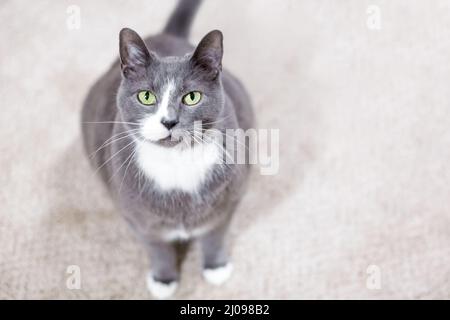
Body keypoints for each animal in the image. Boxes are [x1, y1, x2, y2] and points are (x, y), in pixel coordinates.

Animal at [81, 0, 253, 298]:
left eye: (192, 97)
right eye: (146, 96)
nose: (169, 121)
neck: (177, 163)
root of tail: (166, 35)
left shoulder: (226, 203)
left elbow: (215, 236)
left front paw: (216, 268)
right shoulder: (137, 217)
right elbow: (157, 248)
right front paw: (163, 281)